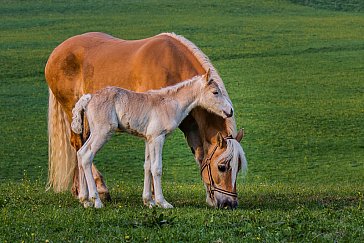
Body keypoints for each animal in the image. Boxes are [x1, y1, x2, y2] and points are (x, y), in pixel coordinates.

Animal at [70, 70, 233, 209]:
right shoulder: (157, 138)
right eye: (215, 92)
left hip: (95, 133)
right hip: (102, 133)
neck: (170, 104)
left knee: (80, 153)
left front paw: (149, 201)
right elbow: (156, 168)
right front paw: (163, 202)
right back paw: (96, 201)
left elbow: (147, 166)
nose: (230, 111)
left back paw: (84, 200)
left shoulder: (148, 139)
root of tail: (89, 97)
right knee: (87, 156)